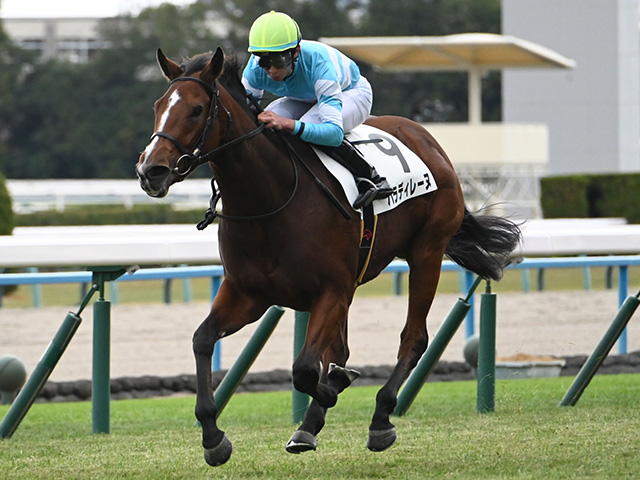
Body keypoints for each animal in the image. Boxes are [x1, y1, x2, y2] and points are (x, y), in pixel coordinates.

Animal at [136, 47, 522, 467]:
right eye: (158, 106)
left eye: (196, 109)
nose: (150, 170)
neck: (270, 199)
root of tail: (427, 139)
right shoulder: (249, 293)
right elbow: (203, 339)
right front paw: (213, 437)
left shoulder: (330, 290)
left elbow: (304, 369)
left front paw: (335, 387)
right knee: (343, 349)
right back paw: (314, 420)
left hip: (427, 251)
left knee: (414, 338)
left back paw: (380, 417)